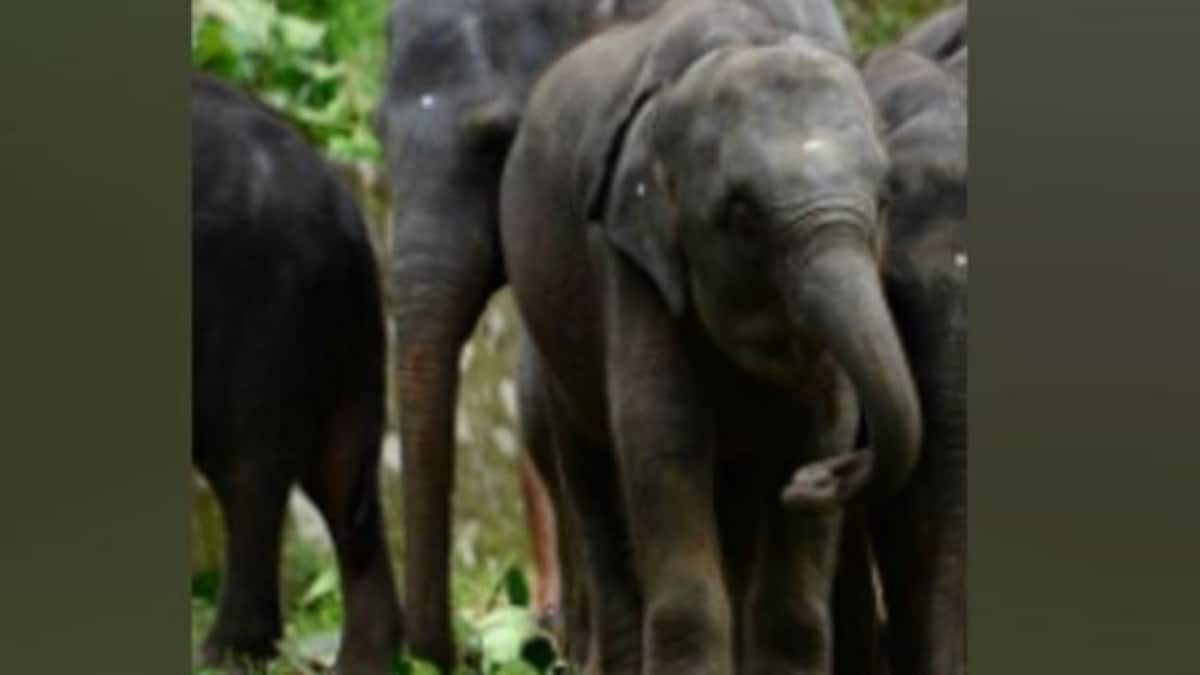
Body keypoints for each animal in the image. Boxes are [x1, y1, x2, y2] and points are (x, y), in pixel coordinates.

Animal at [494, 2, 916, 667]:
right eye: (741, 213)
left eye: (884, 197)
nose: (814, 483)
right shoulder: (628, 256)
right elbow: (663, 427)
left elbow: (824, 420)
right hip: (555, 347)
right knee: (590, 476)